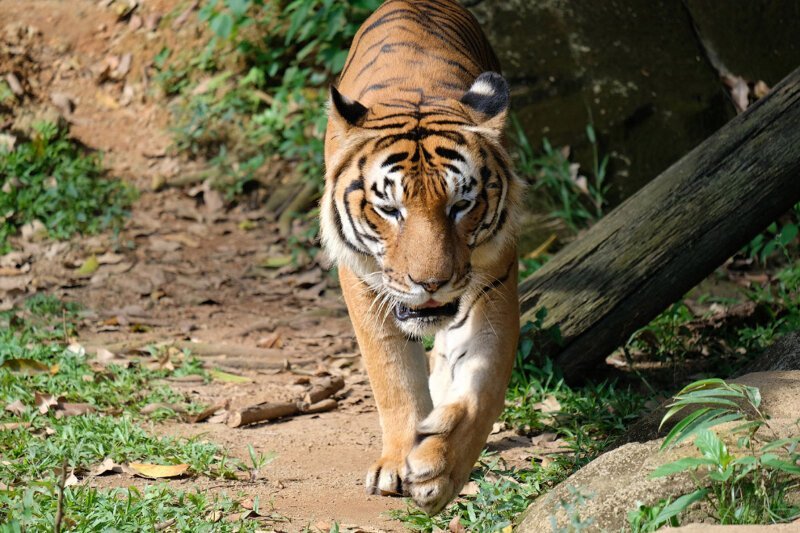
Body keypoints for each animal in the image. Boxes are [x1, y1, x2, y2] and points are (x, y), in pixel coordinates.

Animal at [318, 0, 524, 516]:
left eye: (461, 205)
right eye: (391, 209)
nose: (431, 283)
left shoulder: (495, 282)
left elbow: (483, 385)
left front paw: (439, 472)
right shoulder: (363, 281)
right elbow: (393, 375)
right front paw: (397, 463)